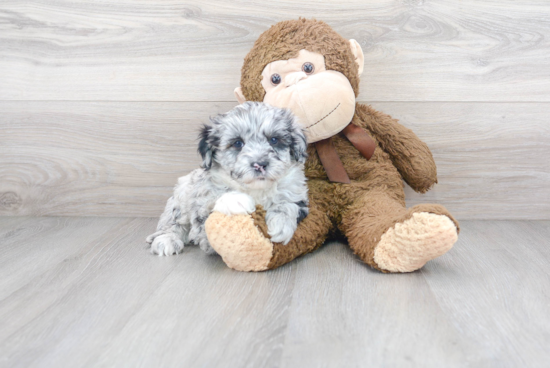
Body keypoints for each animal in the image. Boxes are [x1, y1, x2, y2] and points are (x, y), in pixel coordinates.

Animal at [147, 100, 310, 256]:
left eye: (274, 140)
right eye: (237, 143)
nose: (260, 164)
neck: (256, 189)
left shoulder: (295, 191)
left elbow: (288, 204)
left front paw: (280, 224)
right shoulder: (201, 197)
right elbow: (214, 203)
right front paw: (236, 200)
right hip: (181, 196)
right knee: (173, 222)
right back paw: (166, 240)